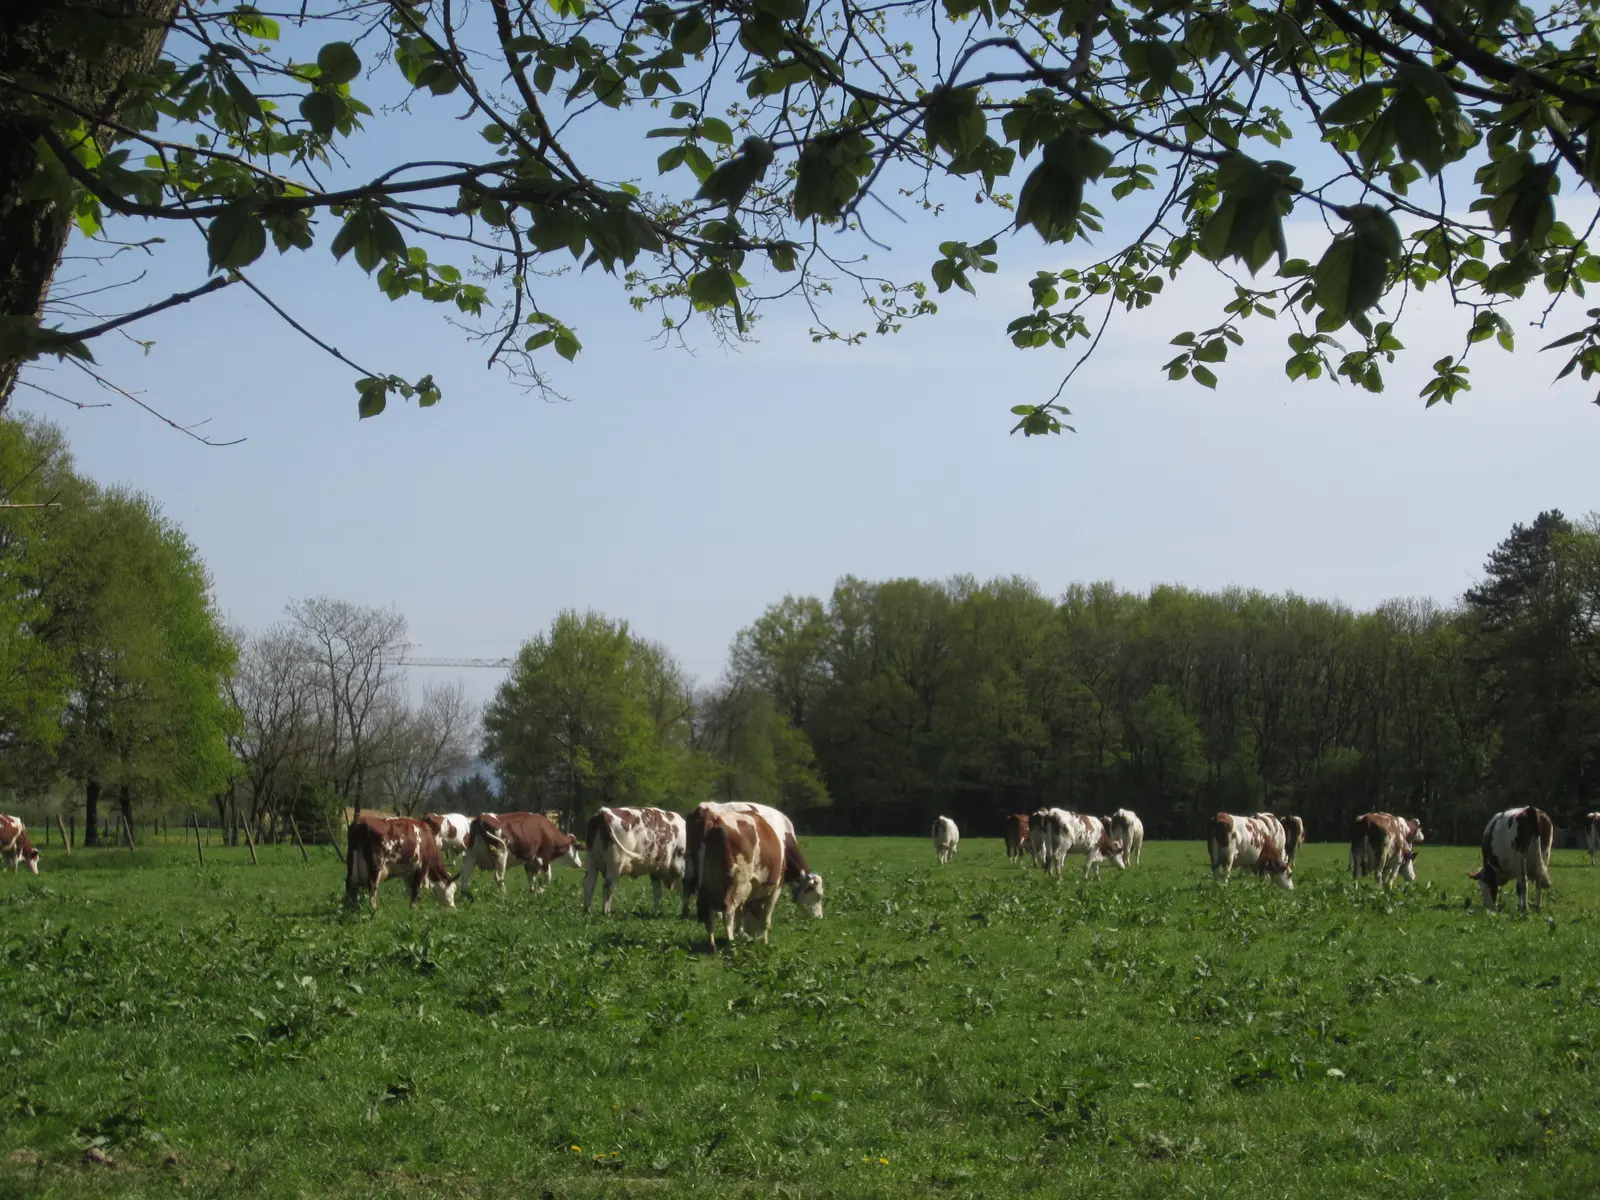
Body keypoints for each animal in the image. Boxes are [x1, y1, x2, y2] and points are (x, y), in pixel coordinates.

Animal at [695, 806, 821, 949]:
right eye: (818, 895)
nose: (819, 917)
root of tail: (715, 820)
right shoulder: (776, 887)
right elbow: (766, 918)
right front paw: (764, 941)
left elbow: (744, 911)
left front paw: (743, 934)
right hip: (736, 882)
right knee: (728, 910)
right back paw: (731, 944)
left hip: (705, 883)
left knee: (708, 911)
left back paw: (712, 945)